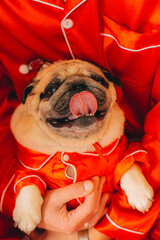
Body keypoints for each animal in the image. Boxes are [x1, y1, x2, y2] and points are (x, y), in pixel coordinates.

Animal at [10, 59, 153, 236]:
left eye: (99, 80)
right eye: (51, 90)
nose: (78, 85)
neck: (76, 145)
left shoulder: (121, 149)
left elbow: (129, 164)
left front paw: (140, 193)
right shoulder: (28, 165)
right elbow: (28, 183)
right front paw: (25, 214)